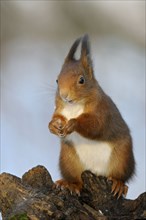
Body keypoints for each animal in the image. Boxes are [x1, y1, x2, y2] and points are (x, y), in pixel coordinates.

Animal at [48, 34, 135, 199]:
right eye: (57, 80)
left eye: (81, 80)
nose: (64, 95)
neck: (74, 106)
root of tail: (96, 171)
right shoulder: (60, 111)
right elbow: (54, 120)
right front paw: (54, 126)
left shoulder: (102, 111)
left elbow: (96, 126)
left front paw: (73, 124)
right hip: (68, 161)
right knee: (78, 181)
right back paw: (69, 184)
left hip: (122, 158)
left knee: (121, 175)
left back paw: (119, 184)